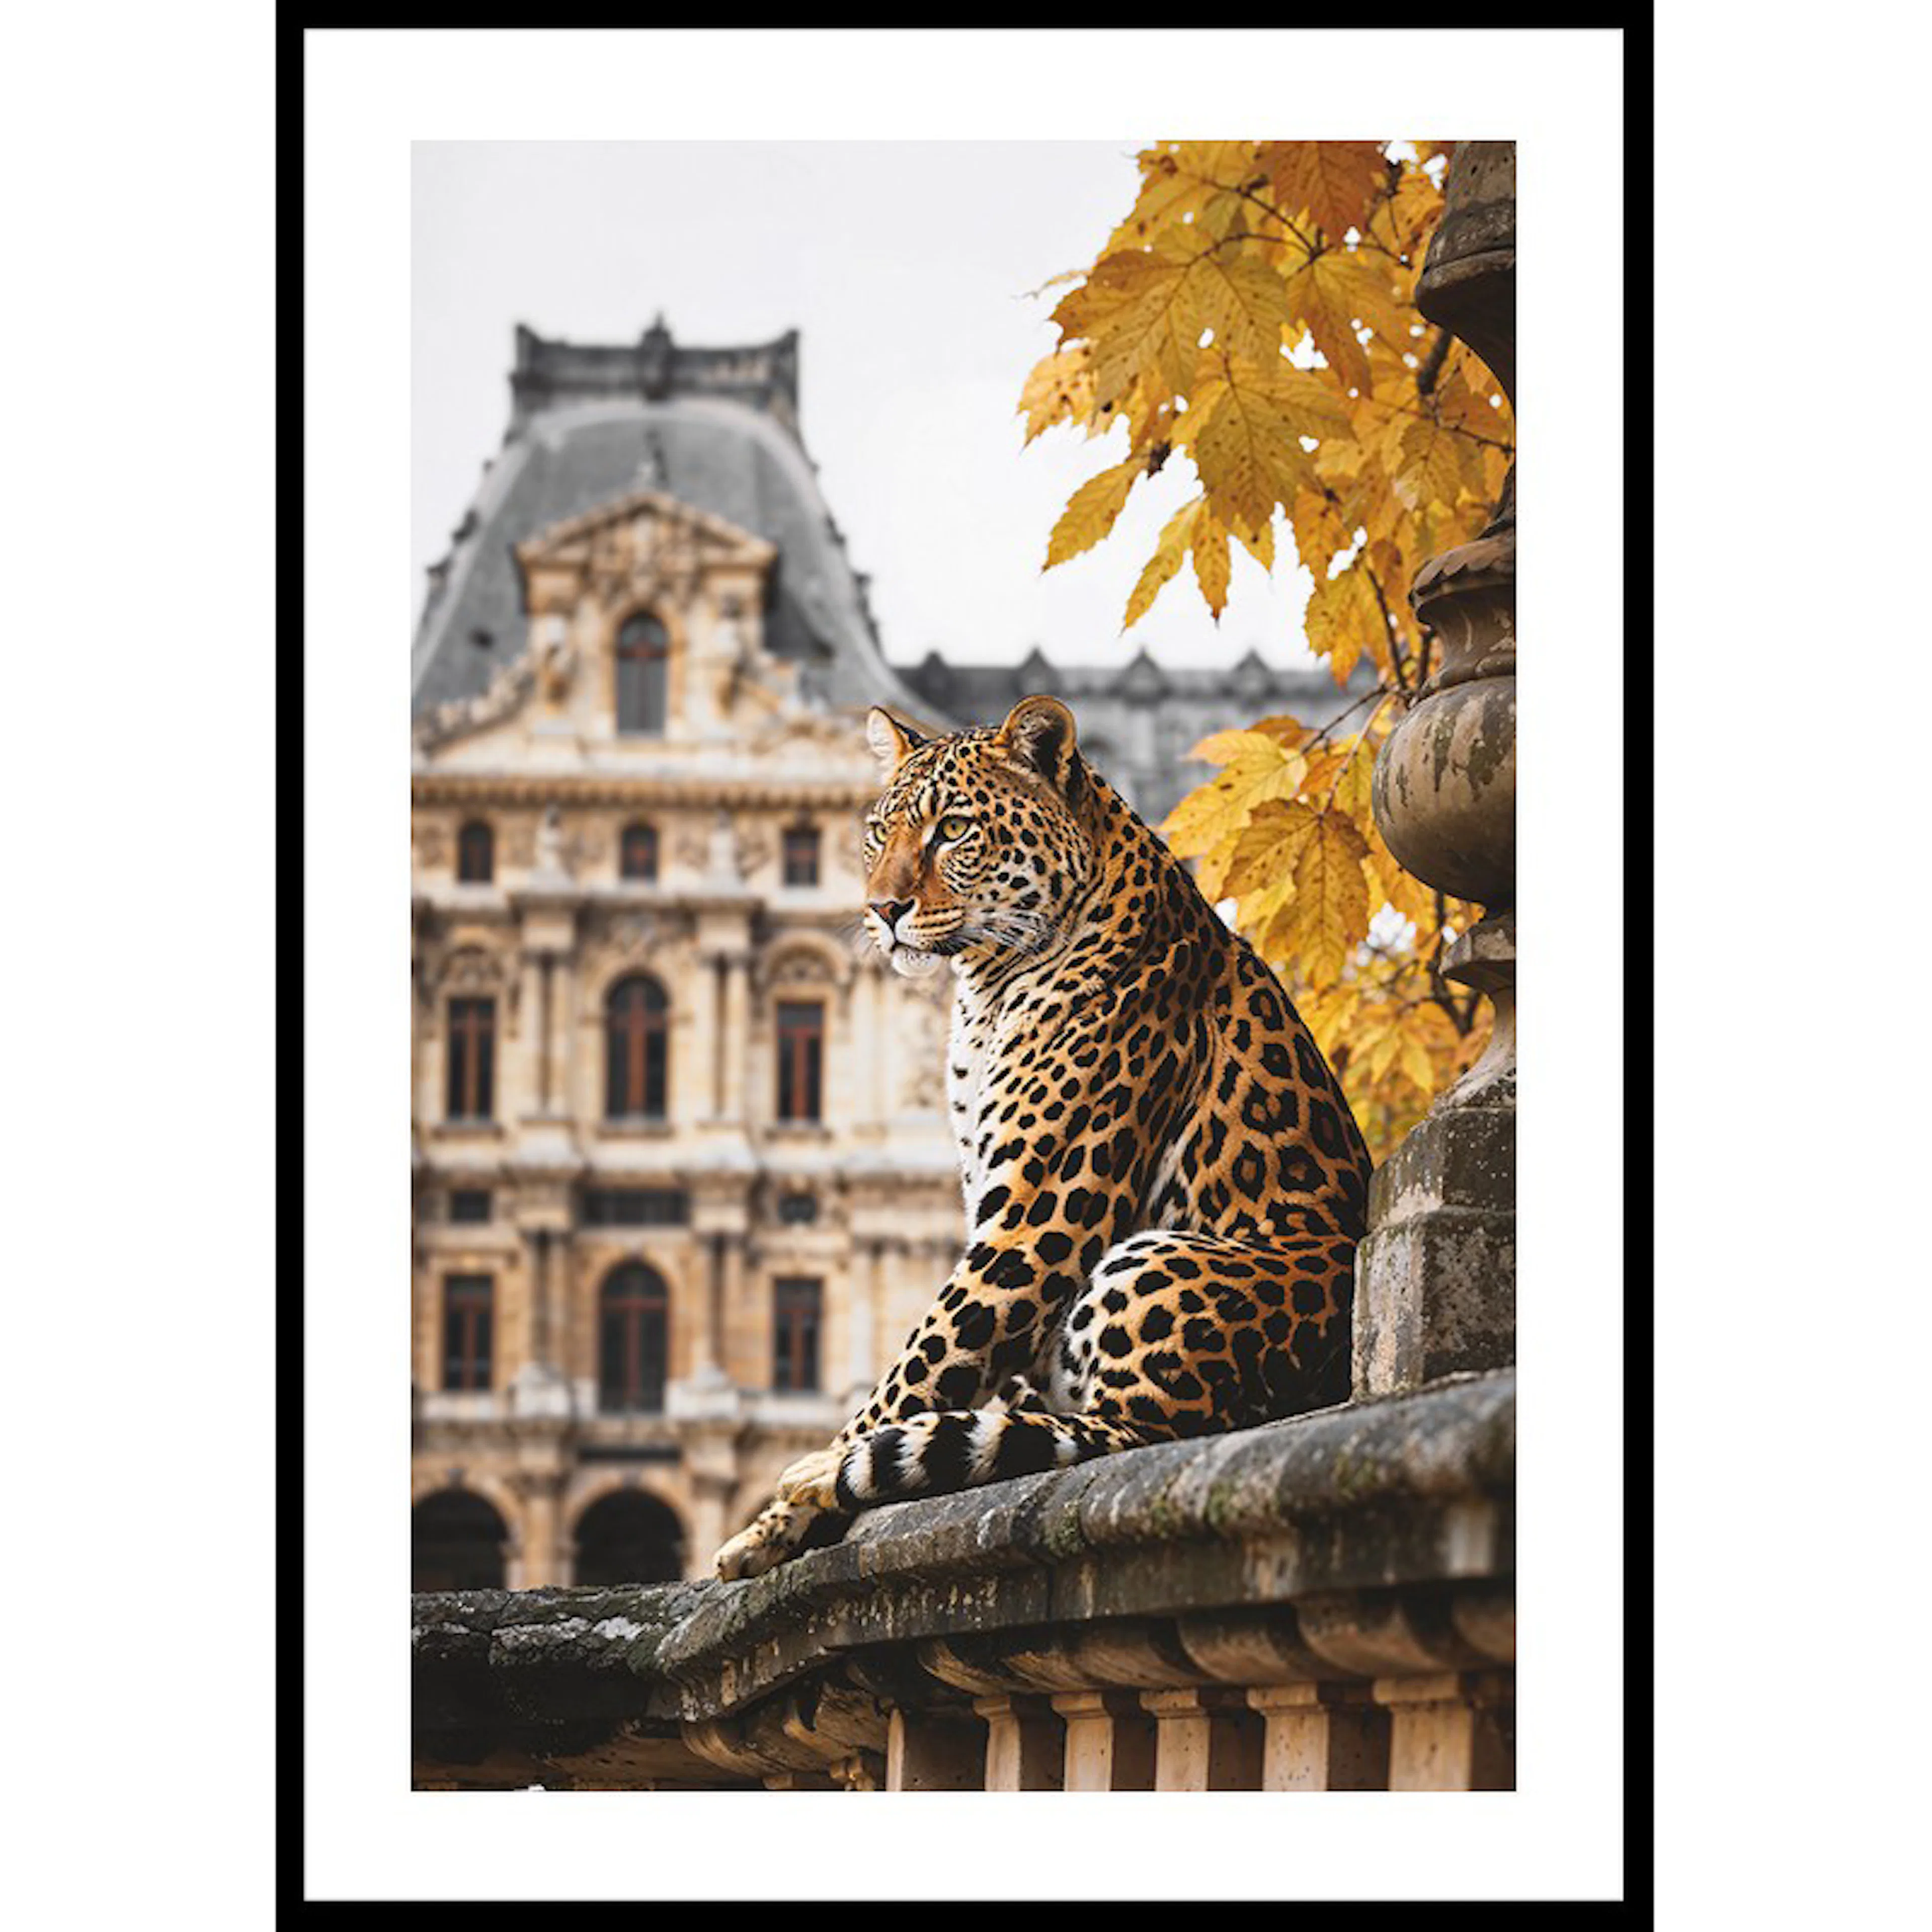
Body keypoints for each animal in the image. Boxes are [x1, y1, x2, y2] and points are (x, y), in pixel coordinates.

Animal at [714, 692, 1373, 1581]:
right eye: (878, 832)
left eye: (953, 829)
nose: (881, 911)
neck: (985, 988)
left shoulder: (1033, 1222)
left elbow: (914, 1369)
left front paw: (781, 1516)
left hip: (1156, 1260)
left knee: (1125, 1440)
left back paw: (831, 1470)